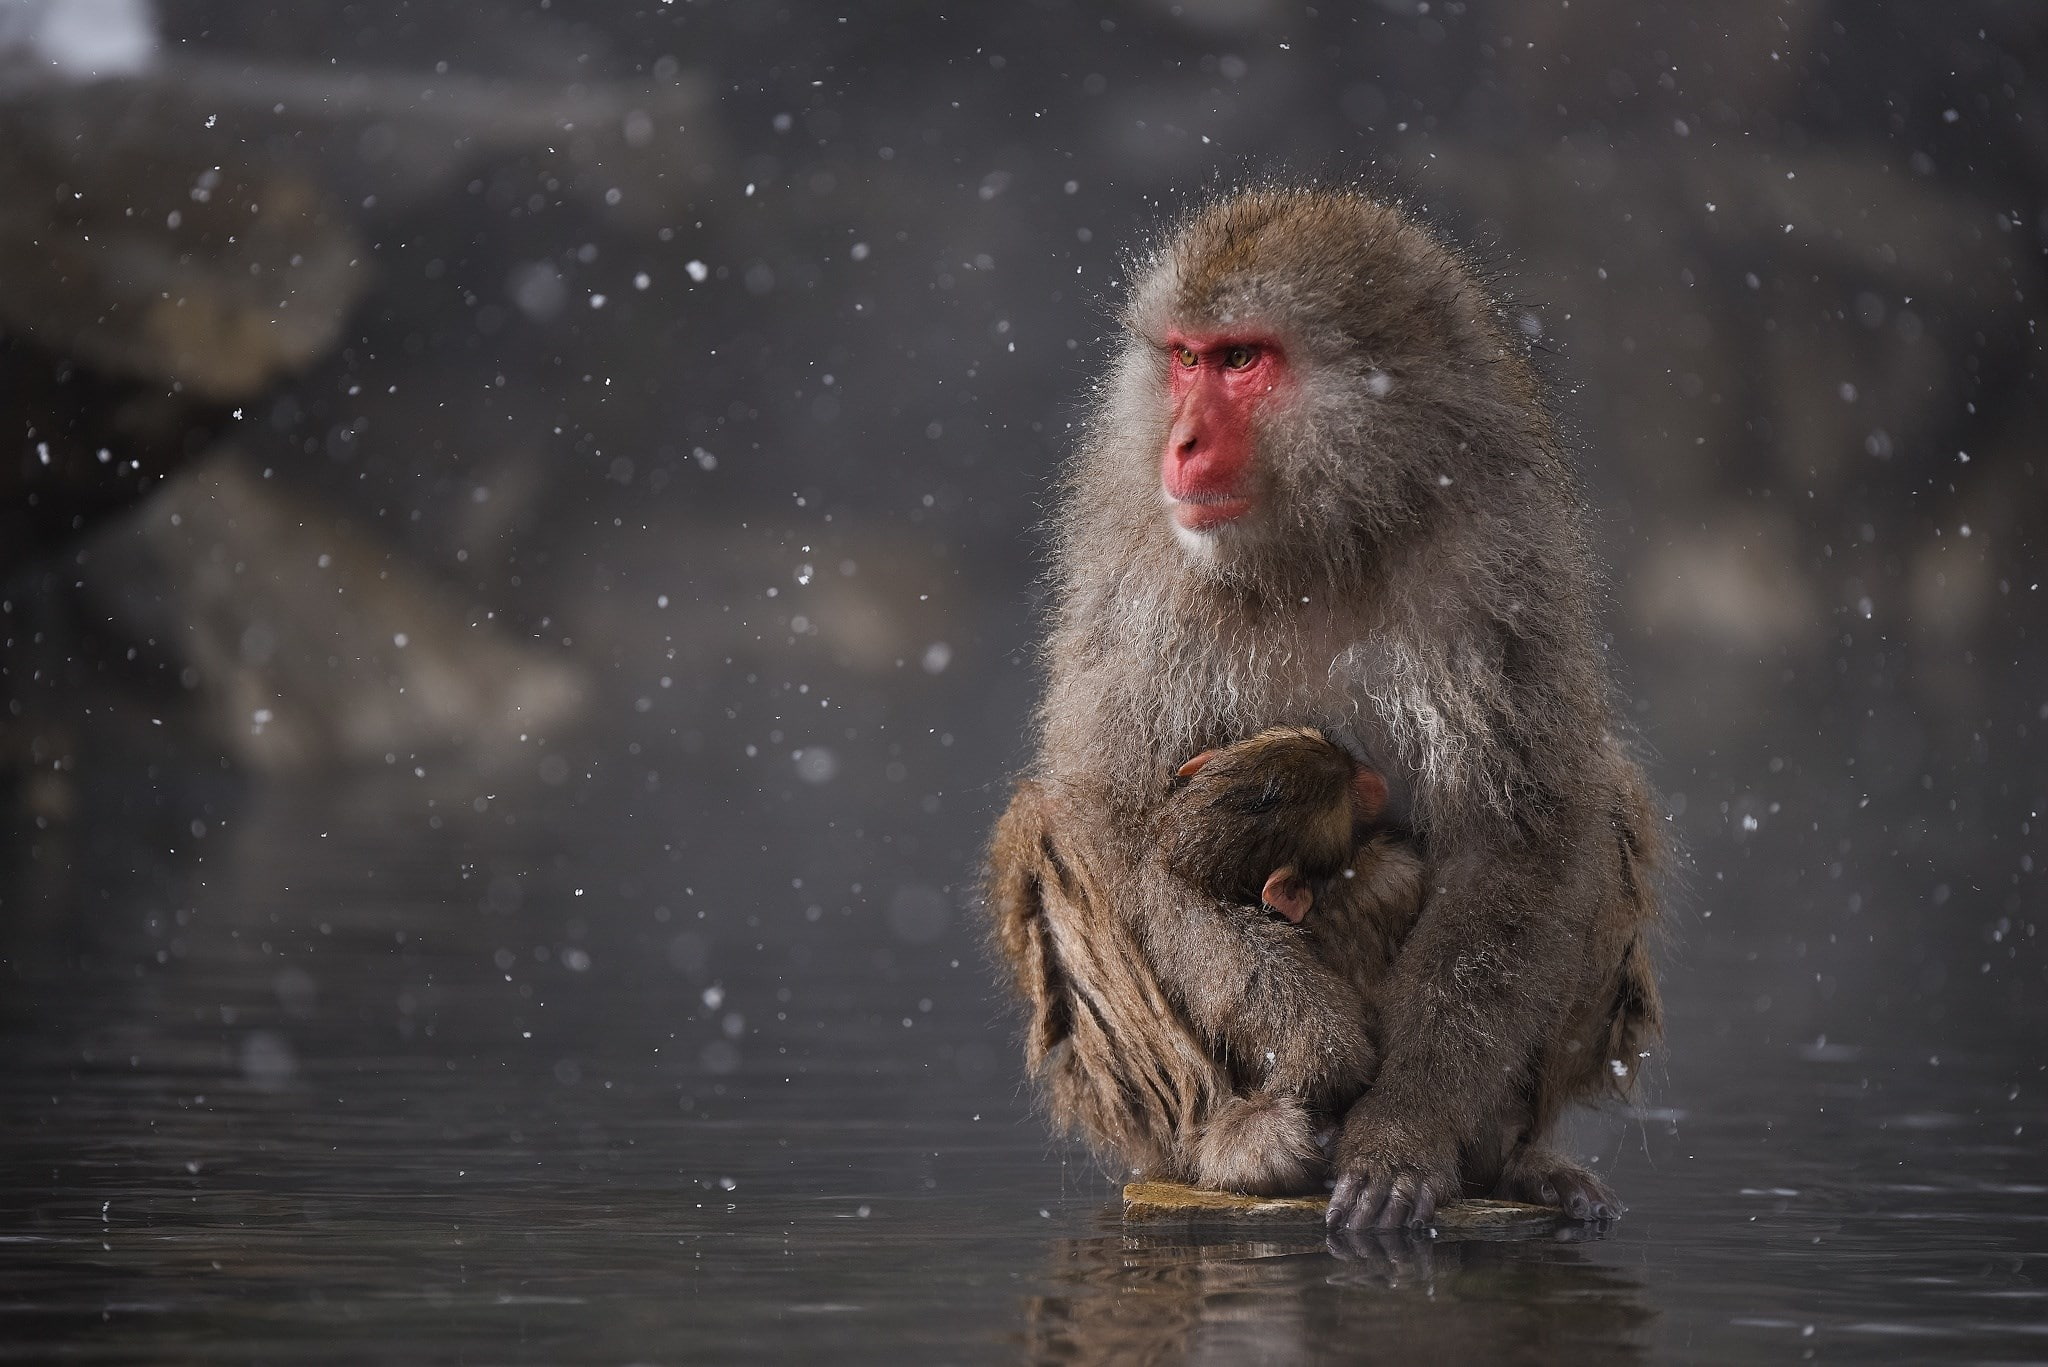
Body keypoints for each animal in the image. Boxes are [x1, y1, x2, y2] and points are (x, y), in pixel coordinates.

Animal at [986, 186, 1661, 1230]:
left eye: (1242, 360)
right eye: (1185, 359)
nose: (1180, 440)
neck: (1320, 535)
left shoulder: (1503, 555)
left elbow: (1523, 832)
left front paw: (1405, 1130)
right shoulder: (1138, 560)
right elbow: (1115, 815)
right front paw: (1314, 1042)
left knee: (1605, 803)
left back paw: (1512, 1161)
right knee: (1051, 825)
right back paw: (1235, 1143)